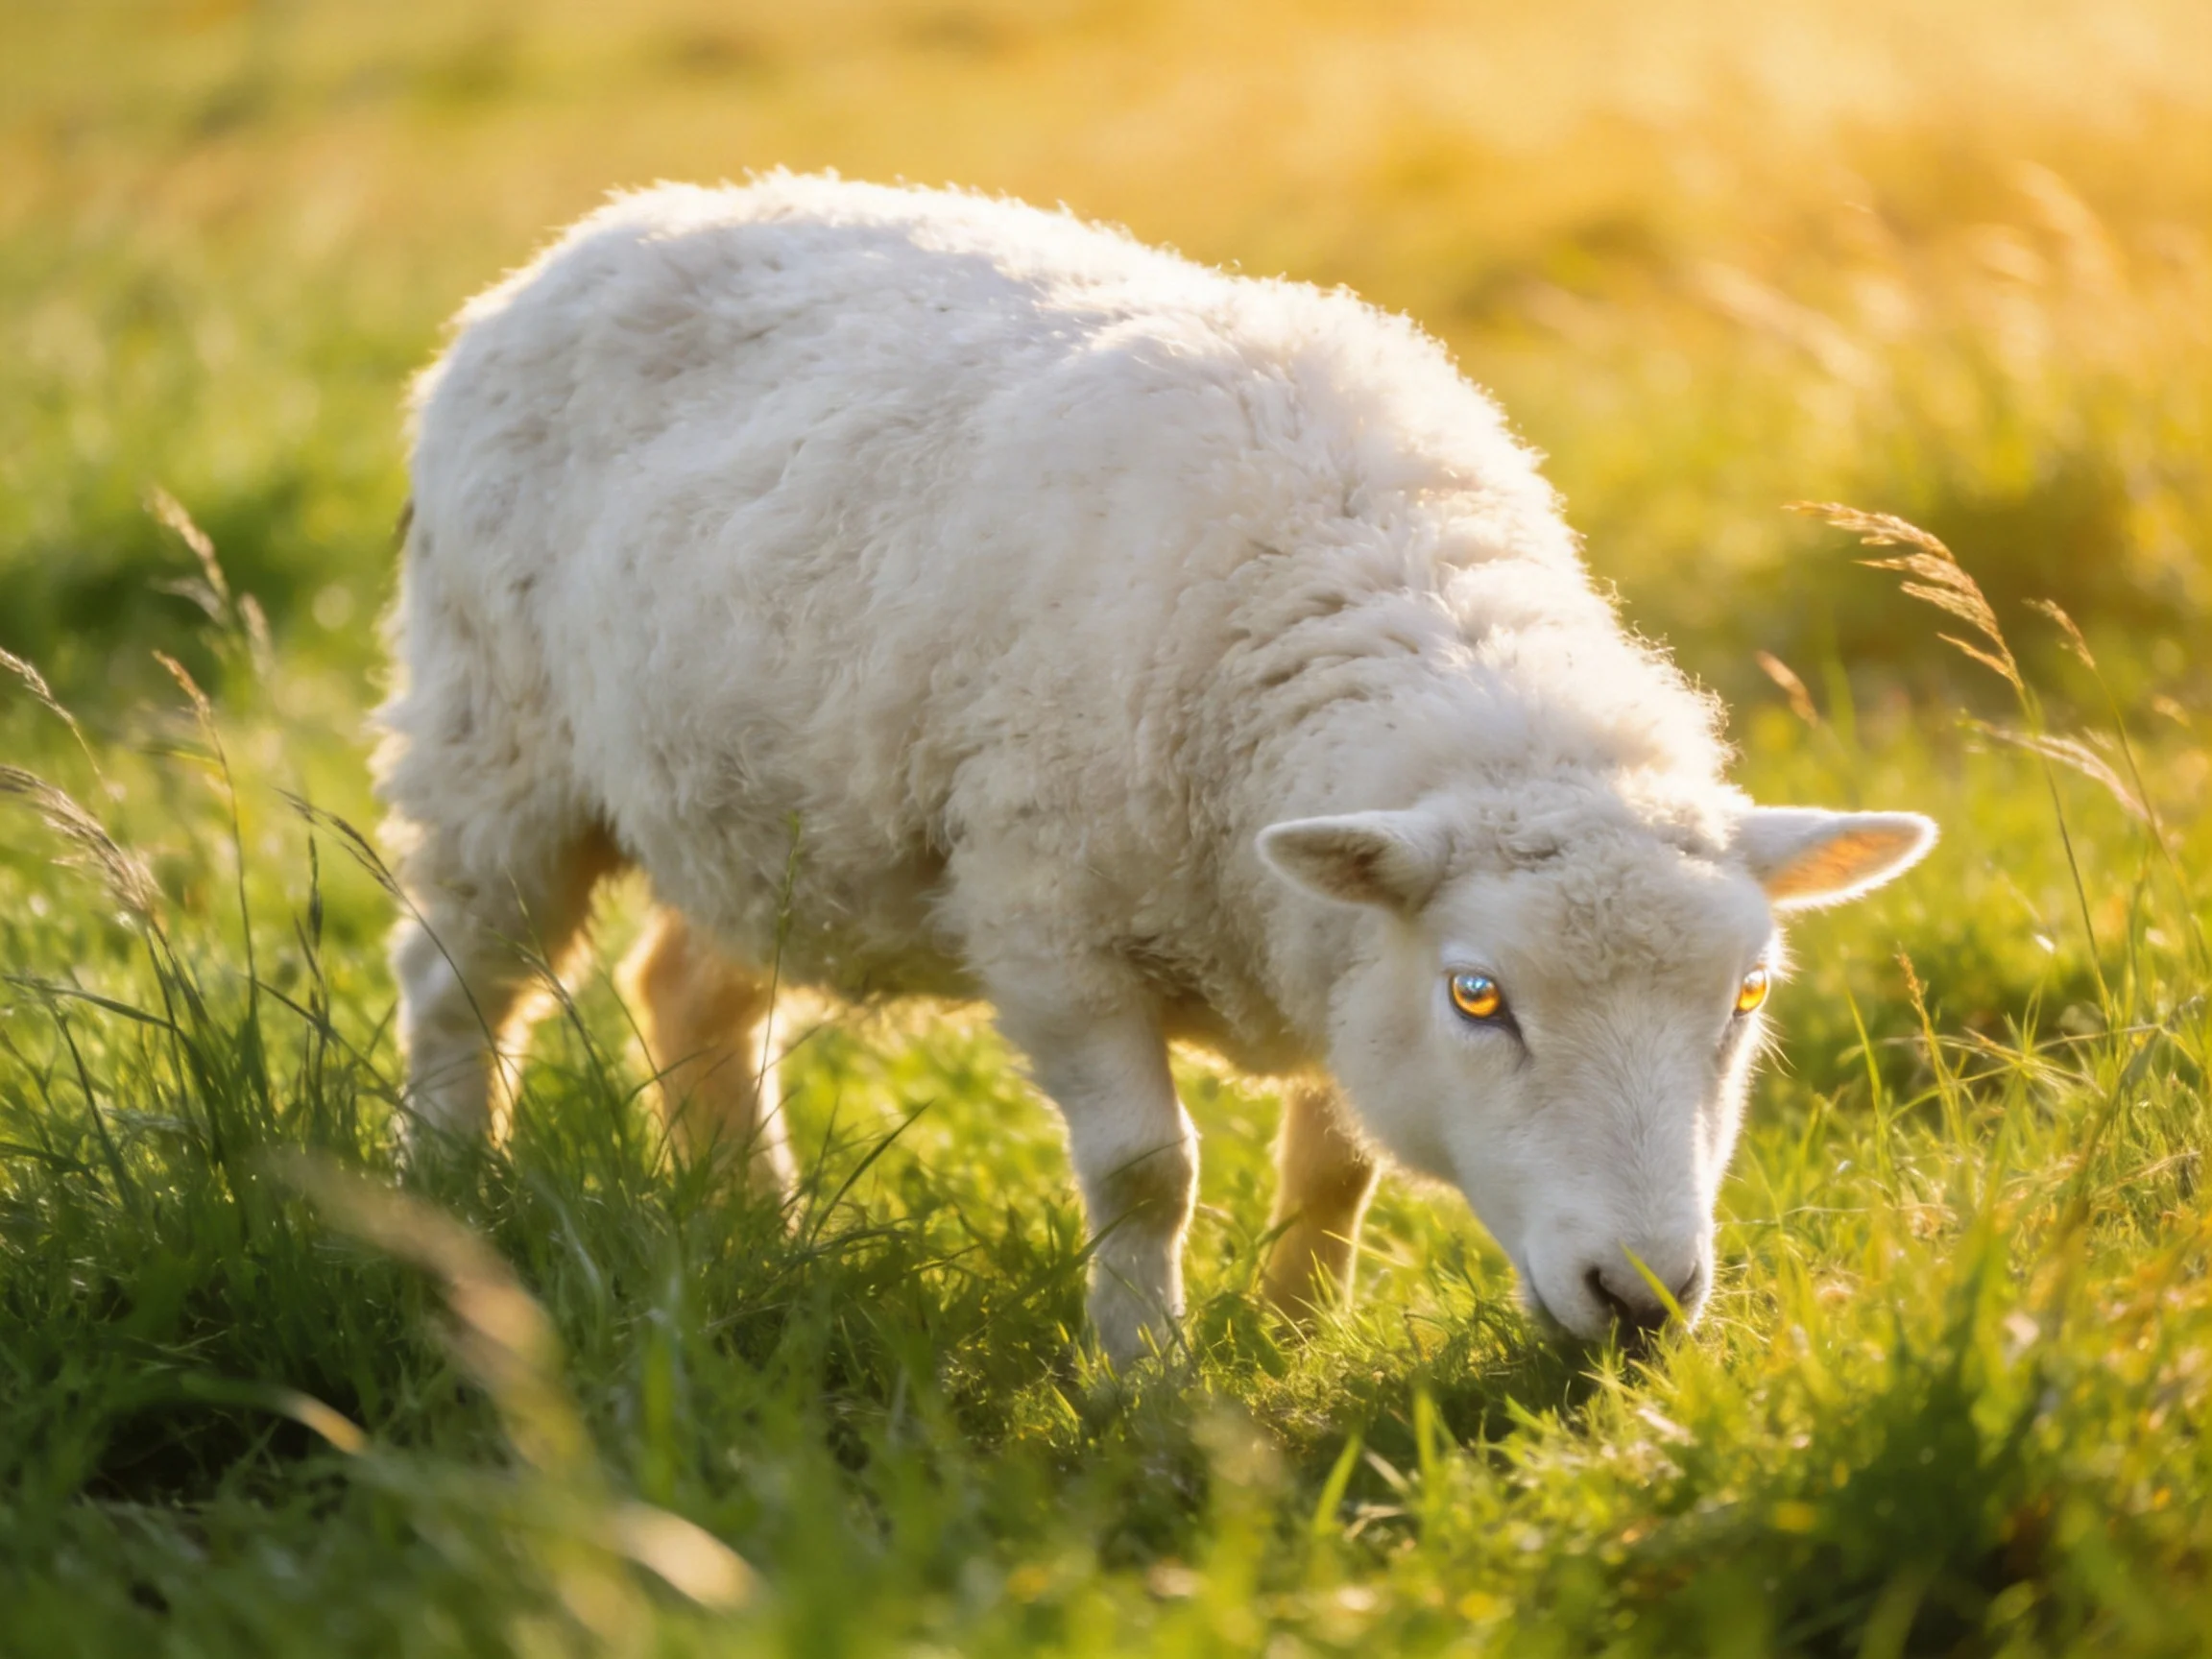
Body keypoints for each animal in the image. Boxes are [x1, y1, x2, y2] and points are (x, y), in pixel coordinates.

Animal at [375, 173, 1934, 1364]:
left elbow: (1338, 1161)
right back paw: (447, 1194)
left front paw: (1297, 1332)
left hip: (751, 803)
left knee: (689, 992)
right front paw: (1143, 1379)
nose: (1644, 1297)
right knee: (460, 986)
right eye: (1479, 996)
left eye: (1748, 998)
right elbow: (1148, 1172)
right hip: (493, 737)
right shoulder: (1047, 924)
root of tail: (610, 225)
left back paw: (759, 1230)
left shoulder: (1334, 948)